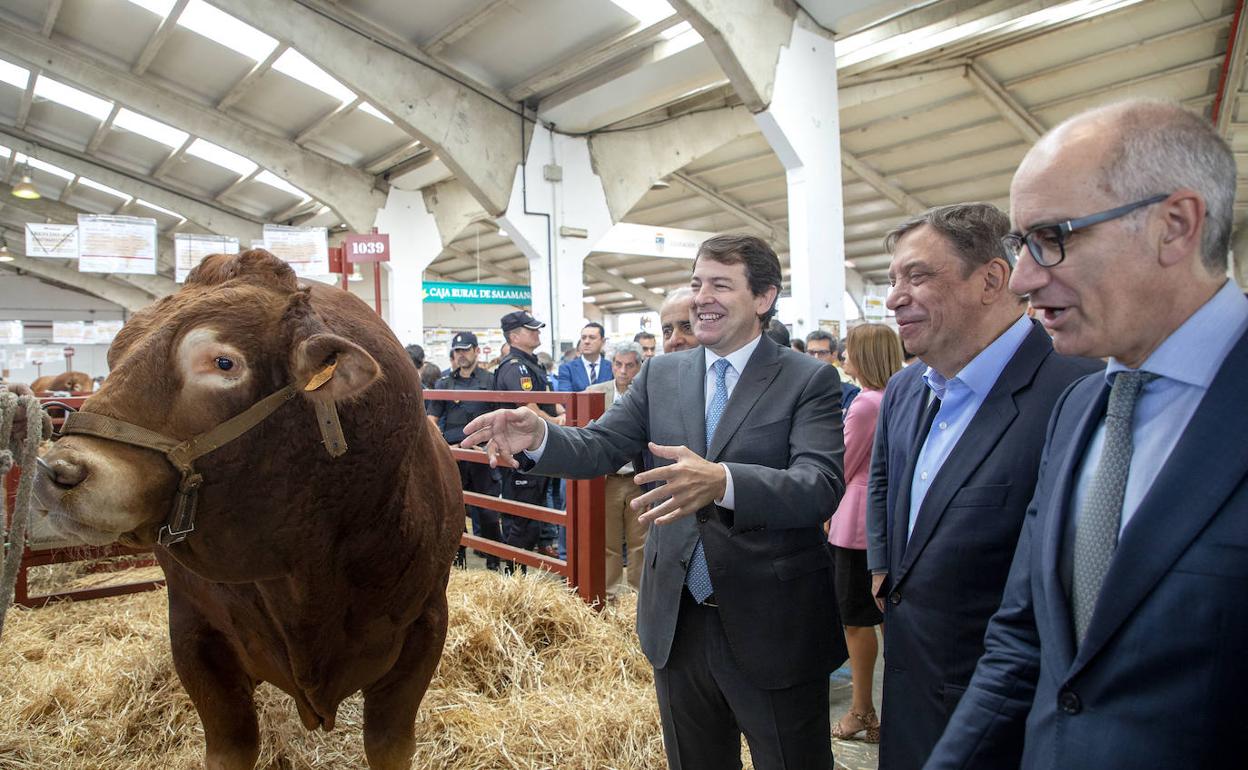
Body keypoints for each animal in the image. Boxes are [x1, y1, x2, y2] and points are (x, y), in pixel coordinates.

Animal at [39, 249, 469, 763]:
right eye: (114, 355)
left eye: (224, 362)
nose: (59, 470)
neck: (307, 565)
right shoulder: (194, 632)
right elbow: (231, 745)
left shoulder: (425, 626)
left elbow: (389, 745)